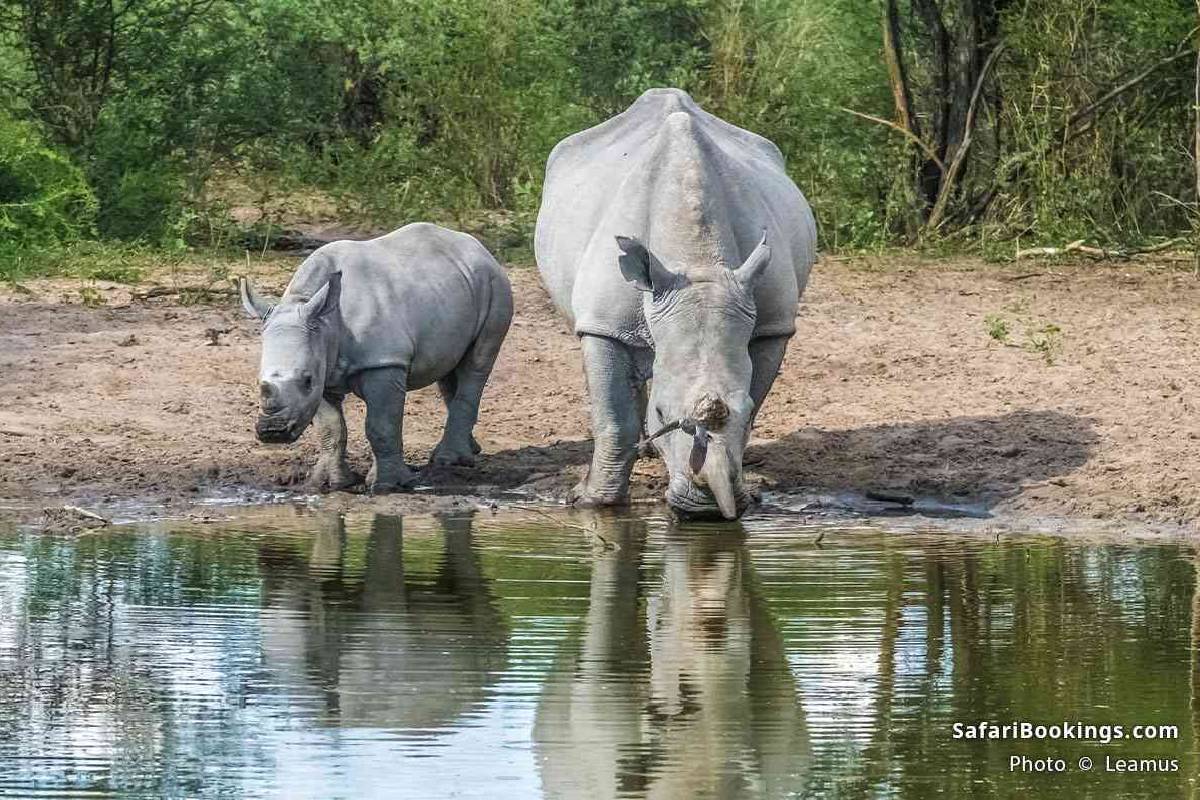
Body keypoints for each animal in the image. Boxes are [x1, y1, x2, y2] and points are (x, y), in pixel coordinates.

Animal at [239, 222, 513, 492]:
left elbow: (381, 425)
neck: (326, 323)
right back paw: (470, 450)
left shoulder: (383, 362)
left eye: (306, 380)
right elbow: (331, 428)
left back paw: (449, 461)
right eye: (257, 382)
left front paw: (387, 485)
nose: (272, 431)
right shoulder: (323, 368)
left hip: (494, 283)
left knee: (476, 365)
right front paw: (329, 483)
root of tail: (477, 246)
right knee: (449, 370)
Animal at [534, 88, 817, 519]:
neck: (698, 261)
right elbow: (613, 418)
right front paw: (591, 502)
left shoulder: (772, 325)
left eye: (747, 408)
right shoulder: (603, 324)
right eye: (663, 413)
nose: (707, 510)